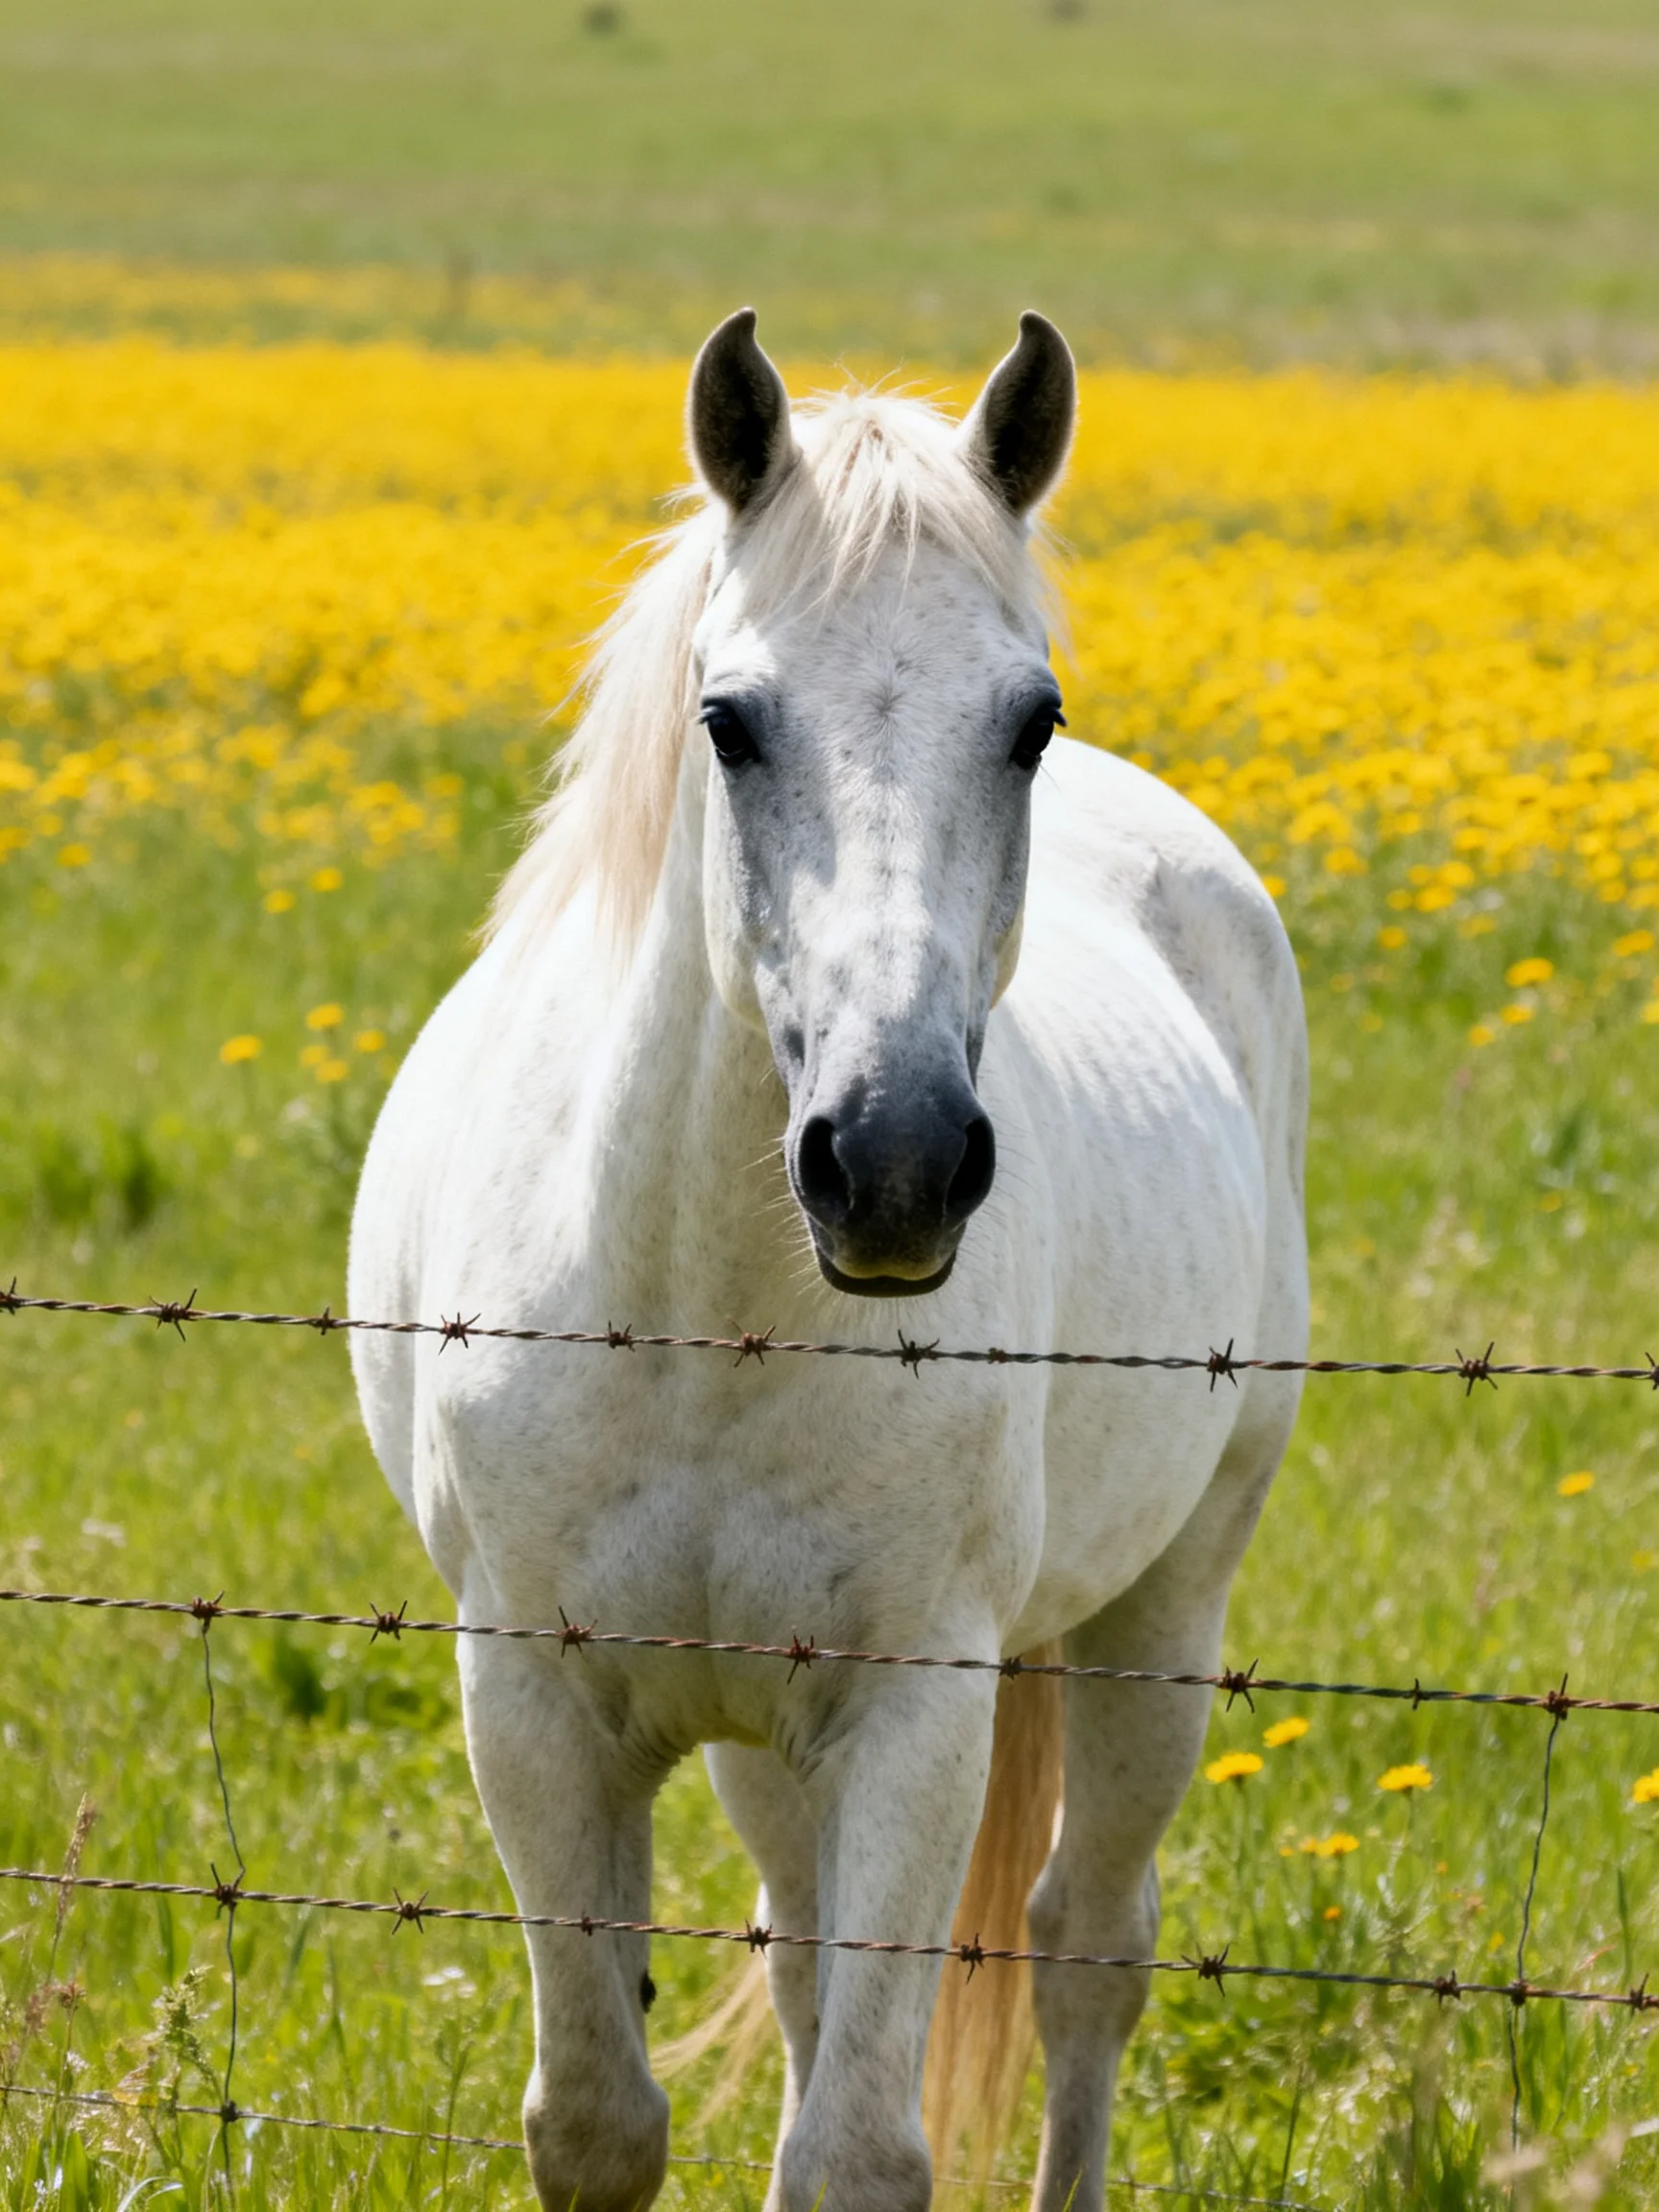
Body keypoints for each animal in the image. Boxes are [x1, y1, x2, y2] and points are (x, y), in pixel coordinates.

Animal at [348, 307, 1309, 2212]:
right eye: (728, 720)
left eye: (1029, 721)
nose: (894, 1163)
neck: (702, 1328)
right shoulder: (534, 1706)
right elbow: (598, 2118)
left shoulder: (915, 1713)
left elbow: (856, 2144)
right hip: (770, 1742)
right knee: (806, 1958)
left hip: (1162, 1611)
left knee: (1088, 1949)